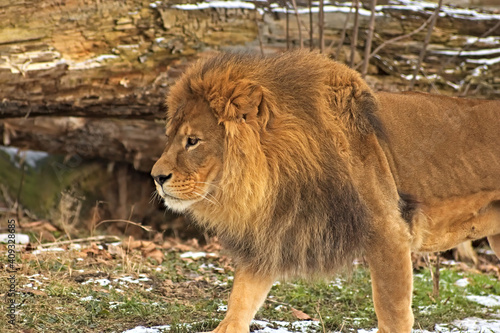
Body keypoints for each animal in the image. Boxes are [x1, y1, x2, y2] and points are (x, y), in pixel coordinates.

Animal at [151, 50, 500, 332]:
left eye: (193, 141)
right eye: (168, 137)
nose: (156, 177)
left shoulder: (389, 234)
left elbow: (393, 315)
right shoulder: (275, 234)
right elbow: (239, 304)